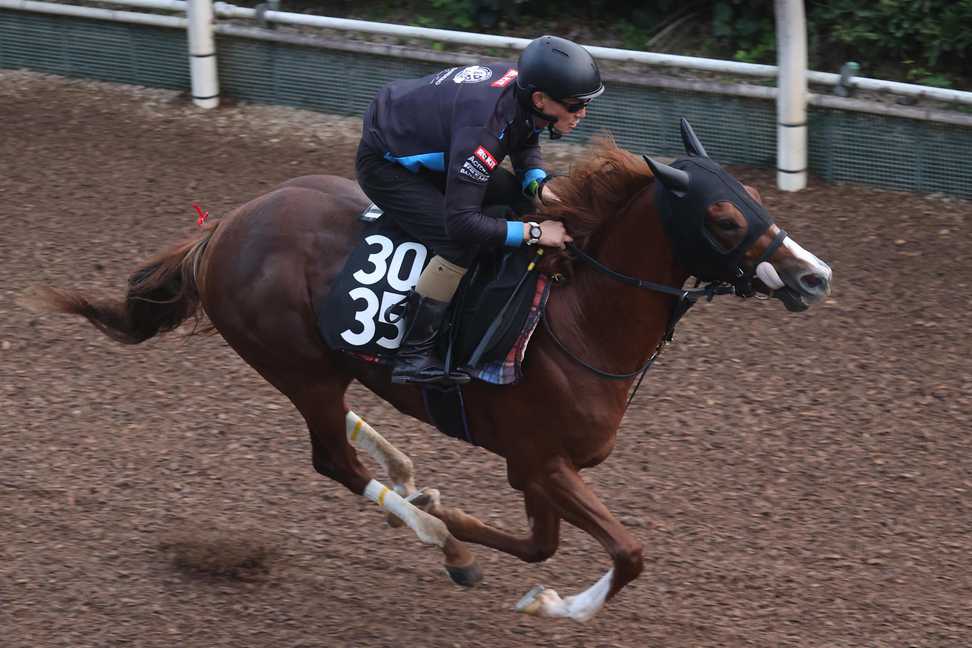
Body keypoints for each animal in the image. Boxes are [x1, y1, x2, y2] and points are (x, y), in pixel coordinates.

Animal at [28, 120, 836, 624]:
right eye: (723, 220)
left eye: (754, 198)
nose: (815, 277)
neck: (577, 317)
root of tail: (225, 226)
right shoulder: (539, 461)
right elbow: (628, 553)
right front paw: (546, 601)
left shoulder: (537, 466)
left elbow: (540, 543)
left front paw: (454, 520)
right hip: (298, 368)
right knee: (334, 461)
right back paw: (433, 534)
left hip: (328, 367)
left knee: (356, 435)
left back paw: (412, 484)